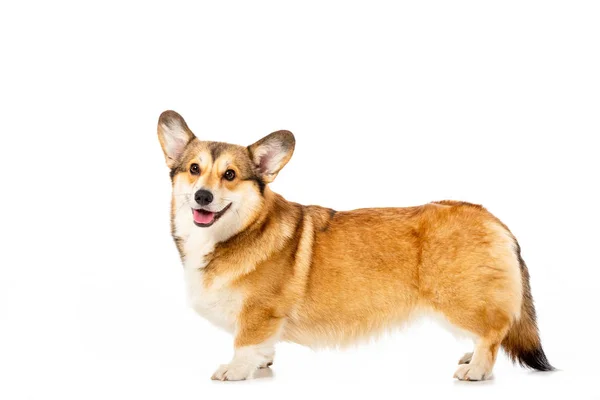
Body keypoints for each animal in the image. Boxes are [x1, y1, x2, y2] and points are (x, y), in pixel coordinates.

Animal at [156, 109, 552, 382]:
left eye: (230, 175)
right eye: (194, 169)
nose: (202, 196)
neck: (239, 231)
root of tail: (493, 219)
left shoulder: (258, 313)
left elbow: (244, 344)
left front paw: (236, 370)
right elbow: (264, 347)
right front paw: (262, 364)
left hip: (459, 299)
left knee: (493, 332)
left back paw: (476, 370)